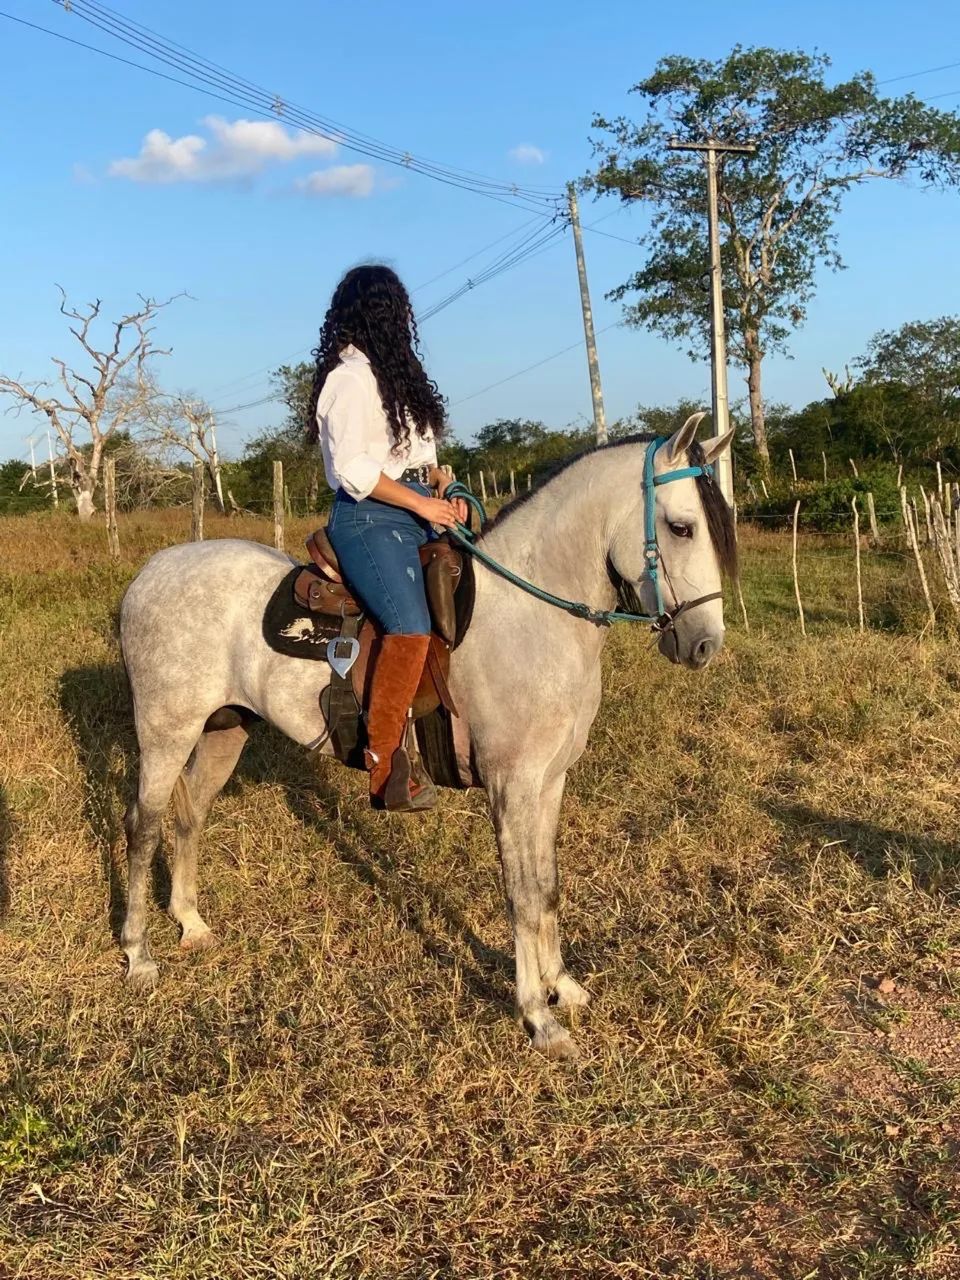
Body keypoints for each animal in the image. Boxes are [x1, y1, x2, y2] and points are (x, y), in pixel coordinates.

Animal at [118, 416, 736, 1059]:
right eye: (682, 527)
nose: (704, 645)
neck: (530, 615)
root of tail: (149, 575)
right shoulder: (512, 786)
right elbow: (520, 895)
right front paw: (538, 1016)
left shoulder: (550, 782)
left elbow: (546, 887)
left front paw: (563, 986)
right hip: (165, 734)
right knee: (143, 826)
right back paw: (138, 954)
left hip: (224, 729)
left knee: (190, 816)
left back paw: (191, 924)